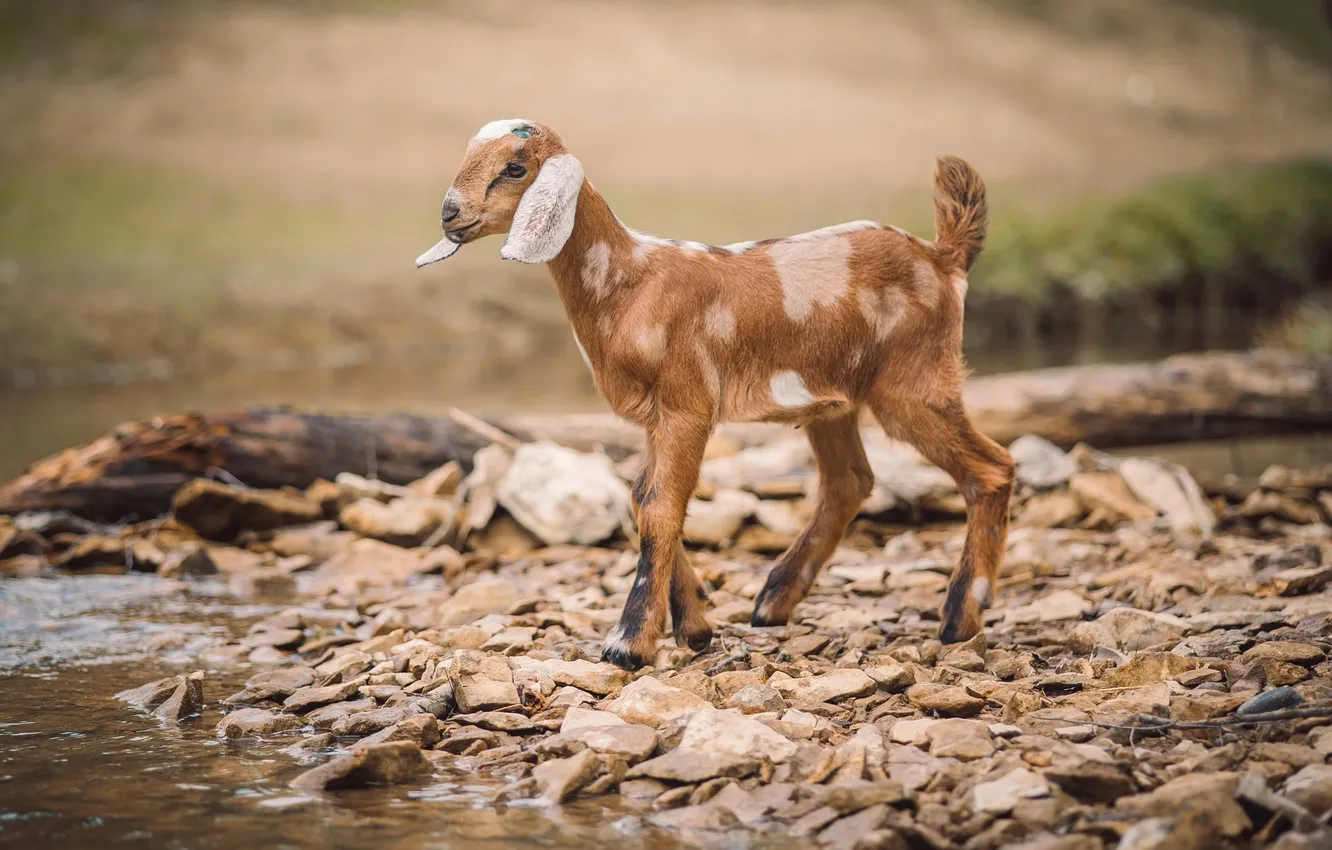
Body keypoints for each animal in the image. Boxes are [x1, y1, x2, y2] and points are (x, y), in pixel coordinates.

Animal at [415, 119, 1015, 671]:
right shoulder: (654, 416)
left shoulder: (687, 404)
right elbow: (644, 498)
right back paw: (774, 601)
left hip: (914, 382)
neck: (629, 283)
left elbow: (661, 506)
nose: (448, 213)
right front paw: (695, 626)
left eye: (515, 168)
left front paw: (628, 643)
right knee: (850, 481)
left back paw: (960, 617)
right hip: (834, 400)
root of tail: (943, 257)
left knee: (991, 469)